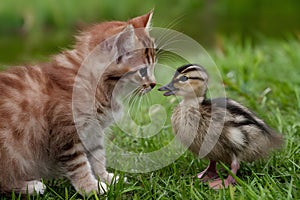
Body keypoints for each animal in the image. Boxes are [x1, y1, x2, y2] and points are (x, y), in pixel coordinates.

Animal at [0, 11, 156, 195]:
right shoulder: (66, 134)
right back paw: (31, 186)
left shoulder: (93, 131)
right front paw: (91, 188)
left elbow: (97, 156)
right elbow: (79, 165)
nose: (154, 84)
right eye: (143, 71)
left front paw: (106, 178)